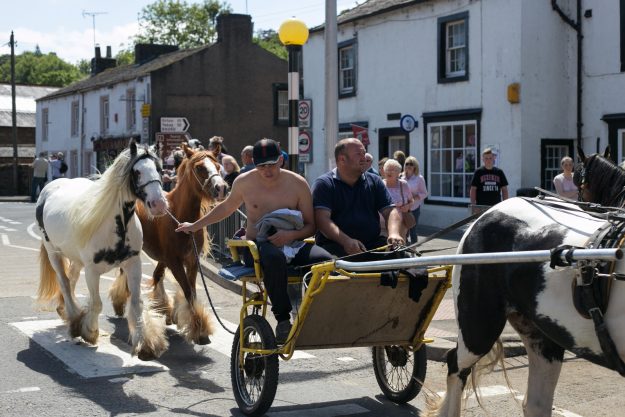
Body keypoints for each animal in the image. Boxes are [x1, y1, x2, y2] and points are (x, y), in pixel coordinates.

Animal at [36, 139, 170, 360]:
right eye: (137, 172)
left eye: (159, 169)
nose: (158, 204)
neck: (115, 224)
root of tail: (50, 187)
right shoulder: (92, 271)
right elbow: (97, 303)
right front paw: (89, 332)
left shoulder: (133, 264)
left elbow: (136, 303)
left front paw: (145, 344)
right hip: (53, 253)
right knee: (64, 282)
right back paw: (74, 319)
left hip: (75, 258)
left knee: (71, 278)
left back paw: (66, 311)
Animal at [109, 143, 228, 345]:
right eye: (199, 168)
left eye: (218, 166)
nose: (221, 188)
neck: (180, 216)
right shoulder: (174, 261)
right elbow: (188, 291)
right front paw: (199, 329)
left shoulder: (191, 261)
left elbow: (191, 290)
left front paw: (186, 319)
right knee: (127, 273)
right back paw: (119, 301)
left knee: (157, 275)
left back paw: (163, 308)